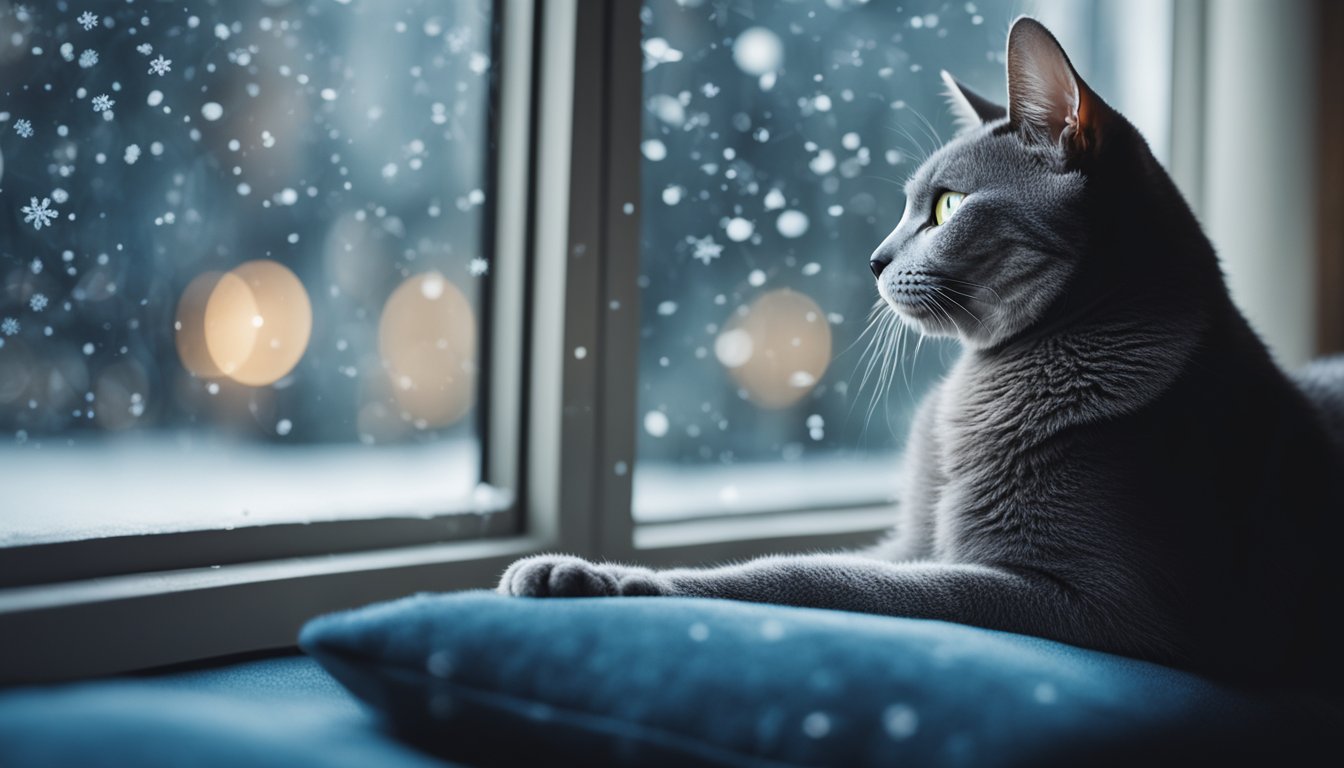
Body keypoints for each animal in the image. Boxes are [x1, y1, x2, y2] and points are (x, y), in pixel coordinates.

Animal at [502, 17, 1344, 688]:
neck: (982, 390)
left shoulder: (1106, 603)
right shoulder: (910, 539)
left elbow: (814, 578)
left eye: (944, 207)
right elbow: (845, 564)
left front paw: (603, 577)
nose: (874, 259)